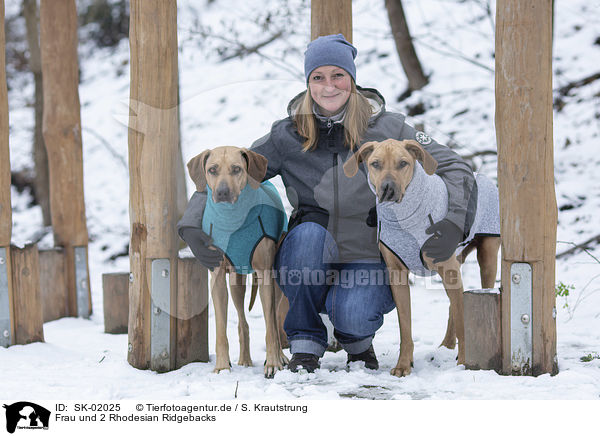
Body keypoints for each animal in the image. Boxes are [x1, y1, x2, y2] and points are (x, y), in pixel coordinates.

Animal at [189, 146, 290, 378]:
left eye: (236, 169)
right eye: (212, 169)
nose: (222, 192)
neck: (233, 220)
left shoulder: (265, 275)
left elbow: (270, 326)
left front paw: (273, 363)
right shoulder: (217, 277)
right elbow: (220, 329)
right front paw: (222, 366)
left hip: (276, 281)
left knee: (274, 321)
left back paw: (280, 356)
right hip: (237, 281)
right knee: (242, 322)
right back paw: (245, 359)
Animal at [342, 139, 502, 374]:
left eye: (403, 163)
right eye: (375, 164)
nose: (388, 189)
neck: (404, 218)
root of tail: (482, 176)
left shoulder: (449, 269)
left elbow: (463, 323)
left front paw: (464, 362)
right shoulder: (397, 275)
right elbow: (405, 327)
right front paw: (403, 364)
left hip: (487, 257)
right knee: (454, 305)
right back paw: (446, 345)